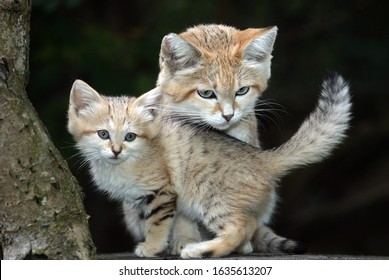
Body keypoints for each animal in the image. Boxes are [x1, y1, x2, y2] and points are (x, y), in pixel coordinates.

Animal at [68, 75, 350, 258]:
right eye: (103, 134)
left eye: (130, 136)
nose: (116, 150)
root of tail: (260, 157)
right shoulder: (139, 200)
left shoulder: (161, 192)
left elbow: (157, 223)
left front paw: (152, 247)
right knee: (249, 225)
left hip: (211, 197)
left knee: (237, 228)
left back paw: (200, 250)